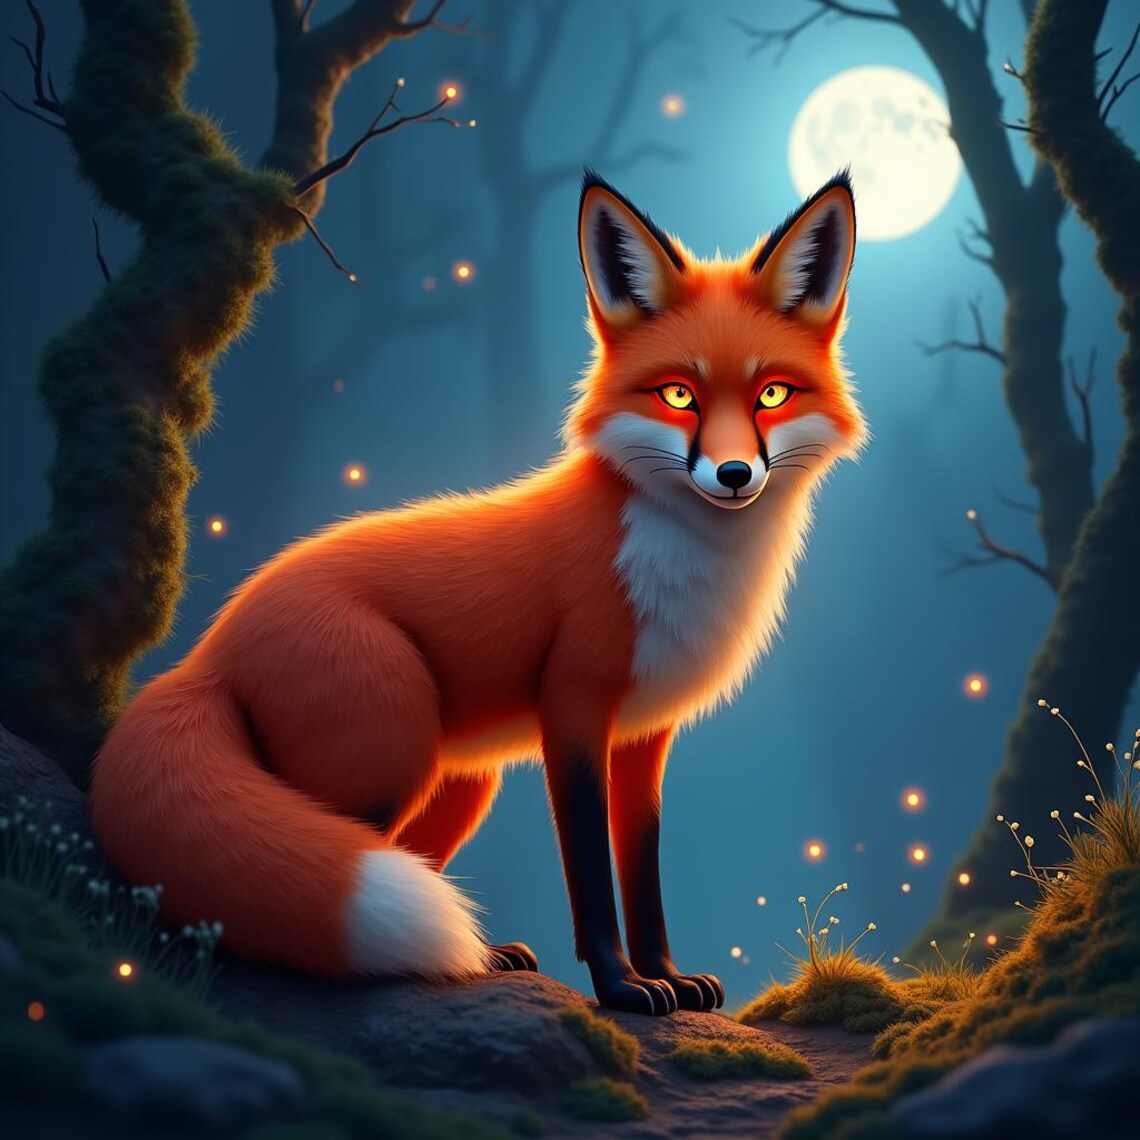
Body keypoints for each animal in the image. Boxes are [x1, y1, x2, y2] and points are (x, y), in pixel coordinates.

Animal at [91, 170, 867, 1016]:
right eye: (678, 397)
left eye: (772, 396)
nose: (733, 475)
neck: (681, 564)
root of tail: (212, 641)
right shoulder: (573, 709)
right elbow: (590, 872)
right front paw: (622, 987)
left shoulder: (644, 739)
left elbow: (643, 872)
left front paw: (667, 974)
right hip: (385, 756)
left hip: (459, 779)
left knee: (403, 862)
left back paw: (477, 958)